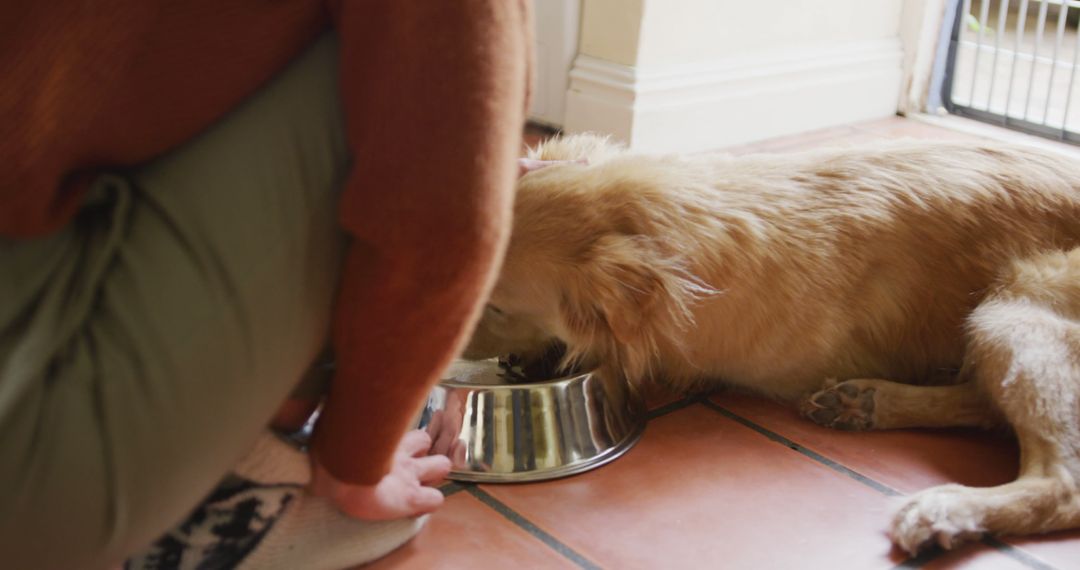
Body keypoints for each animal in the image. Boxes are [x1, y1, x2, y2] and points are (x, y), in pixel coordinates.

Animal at [464, 132, 1080, 552]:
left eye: (494, 305)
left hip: (1014, 305)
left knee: (1061, 485)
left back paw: (945, 507)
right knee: (986, 406)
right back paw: (864, 402)